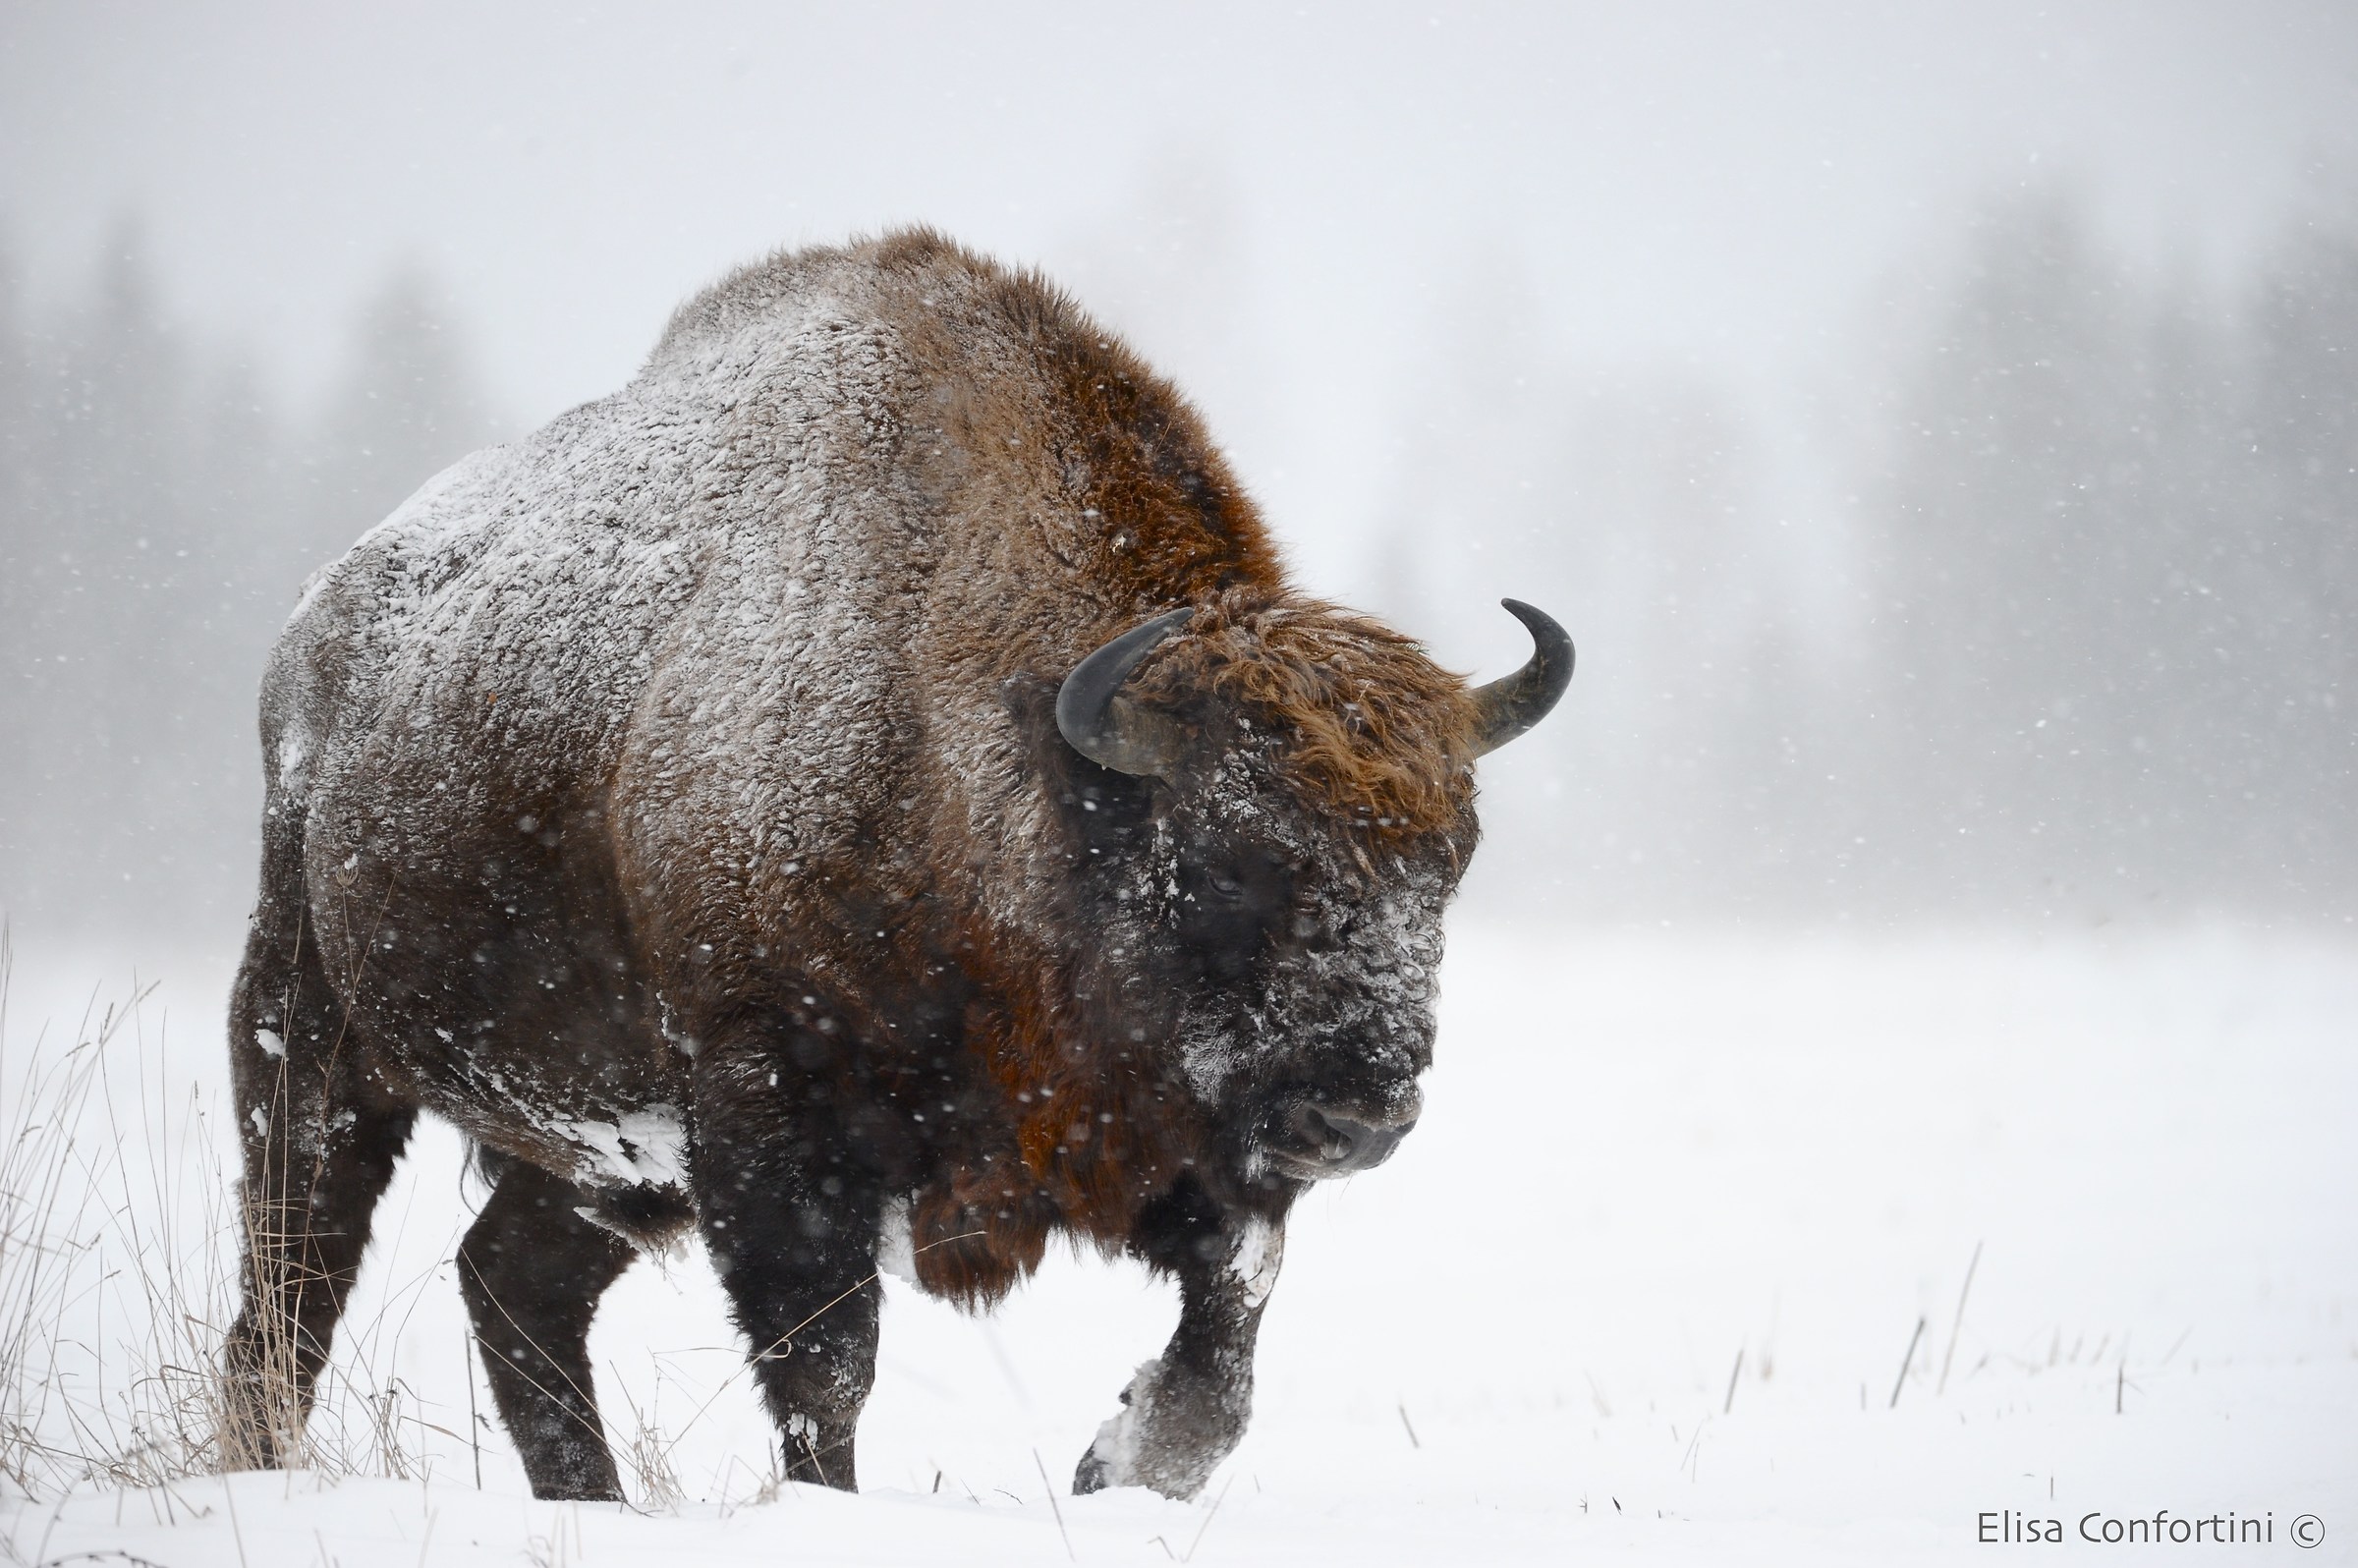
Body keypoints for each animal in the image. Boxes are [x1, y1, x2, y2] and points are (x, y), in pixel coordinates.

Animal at [223, 229, 1571, 1501]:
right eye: (1232, 856)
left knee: (509, 1279)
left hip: (613, 1156)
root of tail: (313, 626)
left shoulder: (1193, 1156)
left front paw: (1112, 1460)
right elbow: (826, 1365)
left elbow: (1224, 1351)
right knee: (294, 1273)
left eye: (1449, 860)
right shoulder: (770, 1117)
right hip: (309, 1032)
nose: (1363, 1111)